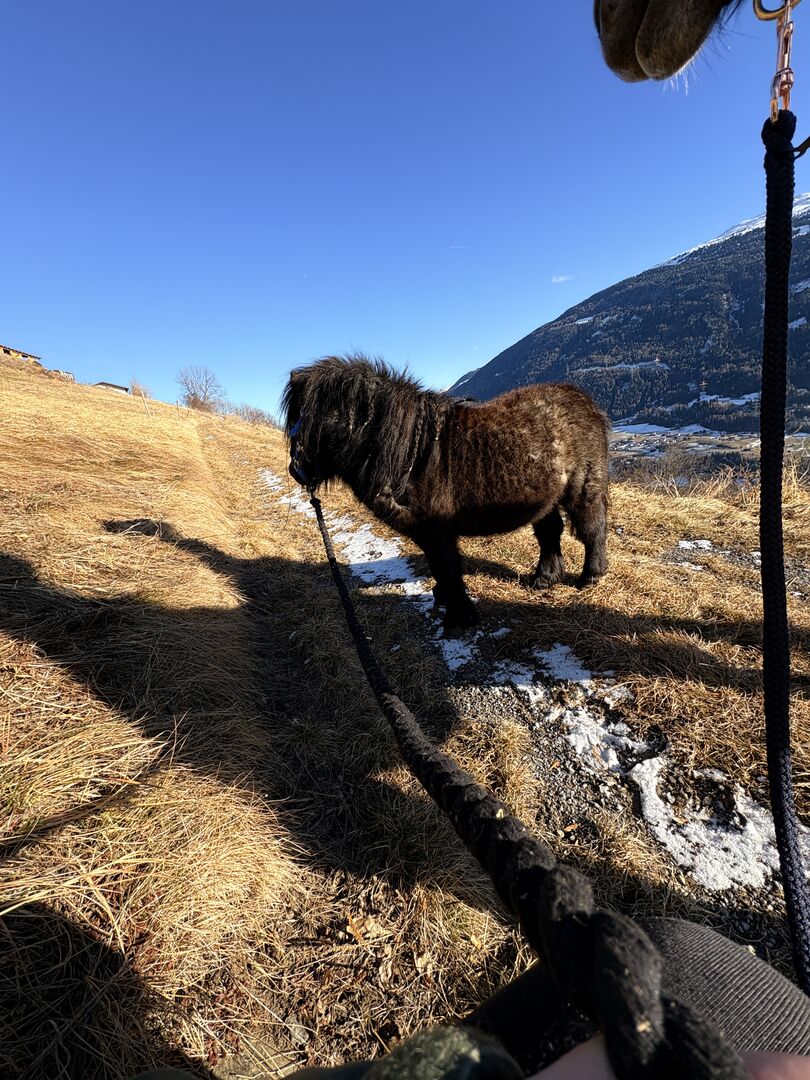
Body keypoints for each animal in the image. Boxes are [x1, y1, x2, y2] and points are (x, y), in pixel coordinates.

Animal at [283, 355, 609, 634]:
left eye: (306, 419)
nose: (296, 471)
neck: (411, 454)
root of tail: (583, 399)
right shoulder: (428, 534)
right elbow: (441, 572)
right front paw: (446, 604)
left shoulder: (437, 532)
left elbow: (448, 571)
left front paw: (458, 618)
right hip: (544, 498)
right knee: (550, 533)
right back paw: (544, 579)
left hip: (583, 488)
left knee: (592, 528)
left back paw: (590, 576)